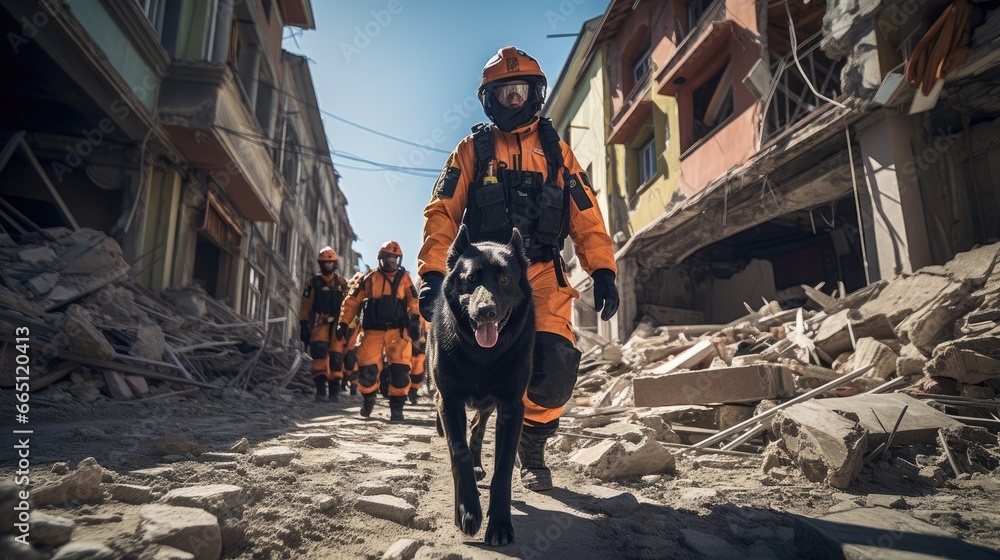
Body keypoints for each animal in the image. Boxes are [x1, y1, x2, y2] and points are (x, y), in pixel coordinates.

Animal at [426, 224, 536, 548]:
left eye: (505, 278)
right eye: (471, 279)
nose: (486, 311)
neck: (481, 355)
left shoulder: (512, 407)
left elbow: (503, 469)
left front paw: (499, 523)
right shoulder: (449, 400)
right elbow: (458, 451)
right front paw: (467, 511)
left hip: (489, 403)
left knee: (477, 427)